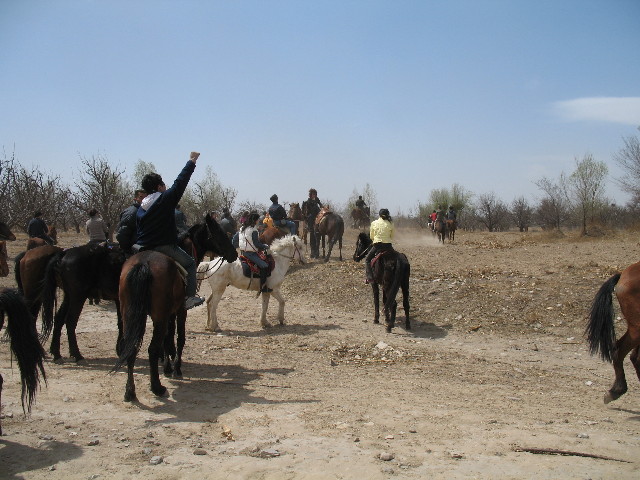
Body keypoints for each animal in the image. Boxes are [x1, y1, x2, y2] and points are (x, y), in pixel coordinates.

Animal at [112, 215, 238, 402]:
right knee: (152, 349)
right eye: (220, 231)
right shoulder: (180, 310)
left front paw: (167, 366)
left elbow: (168, 339)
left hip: (130, 315)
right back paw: (157, 388)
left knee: (131, 347)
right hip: (158, 317)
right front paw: (176, 367)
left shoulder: (168, 314)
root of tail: (143, 264)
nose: (234, 253)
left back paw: (130, 391)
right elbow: (179, 338)